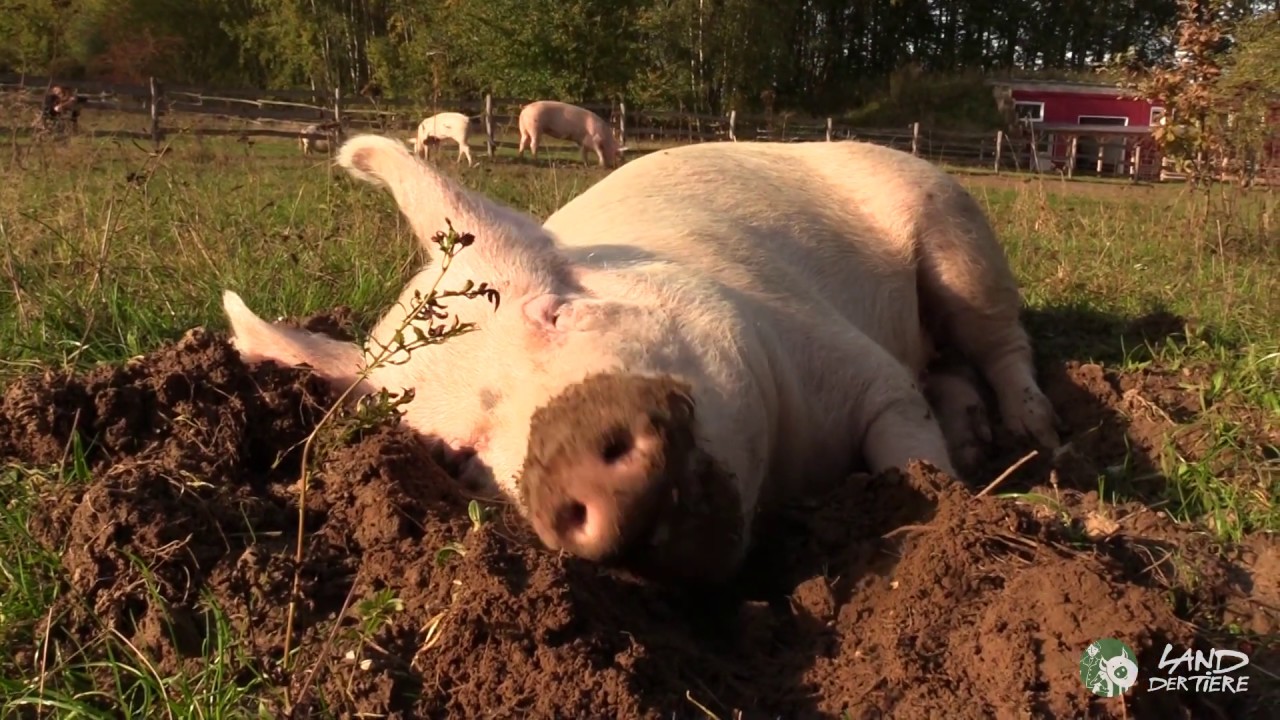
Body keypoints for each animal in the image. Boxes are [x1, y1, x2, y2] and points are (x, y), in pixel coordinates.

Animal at [222, 133, 1059, 584]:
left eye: (556, 312)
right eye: (455, 453)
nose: (569, 454)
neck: (786, 477)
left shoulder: (843, 355)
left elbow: (906, 444)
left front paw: (953, 505)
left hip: (956, 232)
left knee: (1001, 341)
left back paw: (1031, 433)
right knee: (952, 366)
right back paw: (983, 436)